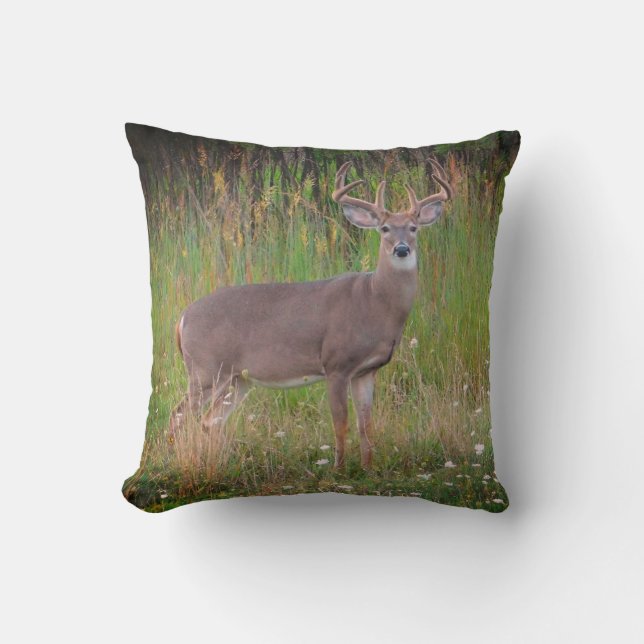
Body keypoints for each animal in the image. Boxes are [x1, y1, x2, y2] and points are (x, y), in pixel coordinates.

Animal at [169, 159, 452, 468]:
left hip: (237, 379)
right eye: (385, 228)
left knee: (211, 421)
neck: (375, 302)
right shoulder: (336, 363)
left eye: (413, 227)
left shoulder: (366, 370)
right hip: (205, 369)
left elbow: (366, 424)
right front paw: (340, 469)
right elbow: (341, 423)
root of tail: (182, 318)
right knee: (178, 416)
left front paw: (369, 468)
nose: (401, 249)